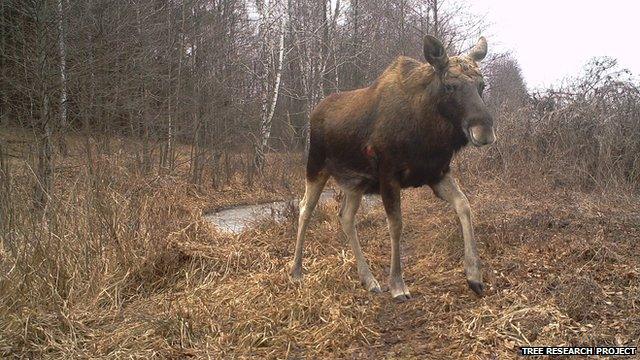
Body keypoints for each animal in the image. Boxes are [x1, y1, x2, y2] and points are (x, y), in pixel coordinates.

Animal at [290, 35, 496, 300]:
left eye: (481, 85)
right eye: (450, 86)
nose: (484, 130)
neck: (429, 132)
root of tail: (314, 113)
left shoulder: (436, 173)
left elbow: (464, 205)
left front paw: (474, 276)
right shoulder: (389, 174)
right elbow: (396, 225)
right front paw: (398, 285)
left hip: (355, 183)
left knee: (345, 216)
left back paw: (369, 279)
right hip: (315, 166)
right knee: (305, 208)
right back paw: (296, 271)